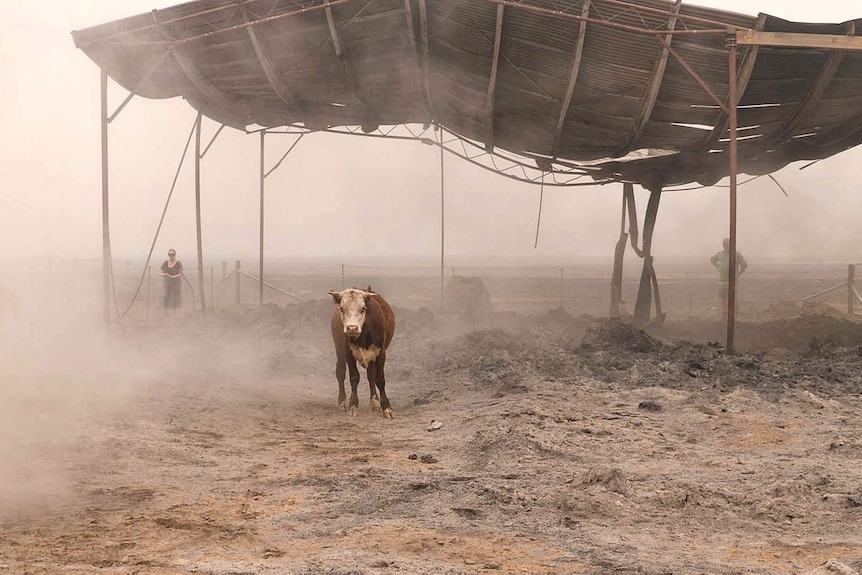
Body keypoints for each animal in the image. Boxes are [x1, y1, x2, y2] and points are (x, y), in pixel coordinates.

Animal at [330, 288, 398, 418]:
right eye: (342, 308)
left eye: (363, 309)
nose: (352, 328)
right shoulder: (348, 354)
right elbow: (354, 378)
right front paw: (353, 405)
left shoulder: (380, 354)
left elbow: (379, 379)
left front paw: (386, 407)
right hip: (339, 349)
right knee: (340, 372)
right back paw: (342, 401)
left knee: (371, 375)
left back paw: (375, 401)